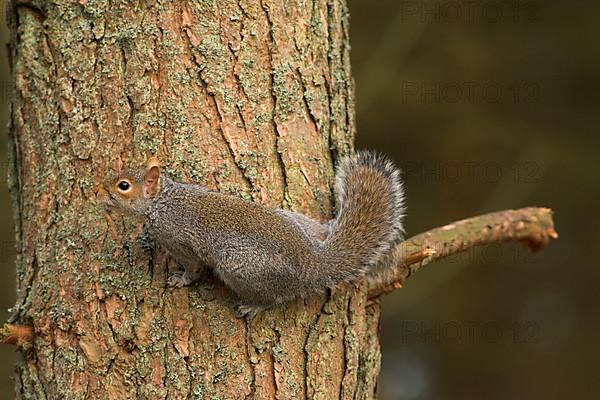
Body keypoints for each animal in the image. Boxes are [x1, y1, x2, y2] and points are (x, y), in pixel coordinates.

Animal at [96, 151, 406, 318]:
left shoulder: (182, 242)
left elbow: (194, 267)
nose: (98, 192)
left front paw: (180, 280)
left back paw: (253, 307)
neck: (163, 202)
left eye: (123, 185)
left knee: (273, 298)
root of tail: (313, 263)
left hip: (242, 269)